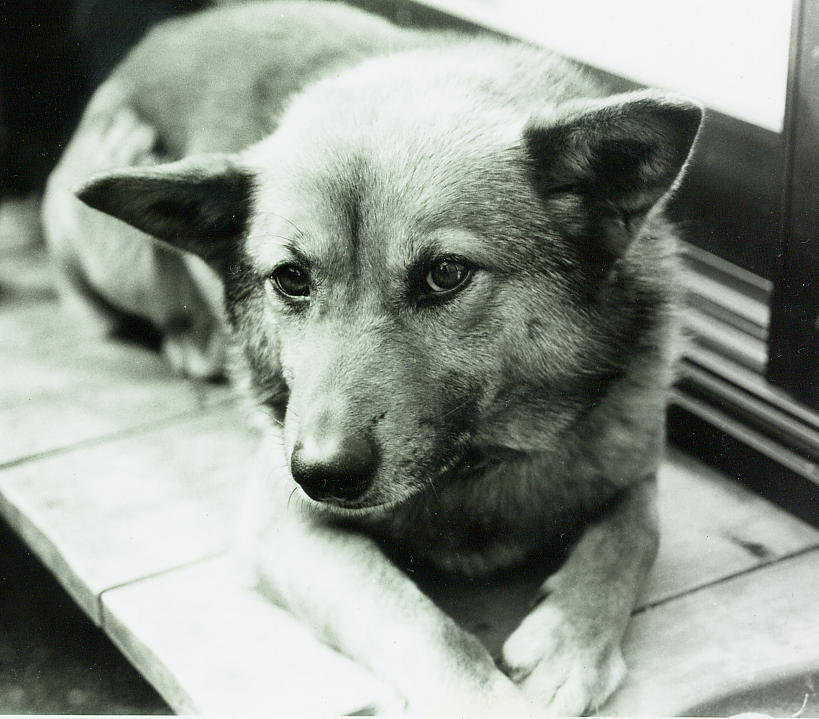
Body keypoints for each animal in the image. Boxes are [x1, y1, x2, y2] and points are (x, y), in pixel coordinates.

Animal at [42, 1, 702, 714]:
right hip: (123, 248)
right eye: (291, 279)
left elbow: (631, 537)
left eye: (445, 274)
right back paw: (193, 339)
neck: (478, 463)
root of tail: (163, 34)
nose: (321, 474)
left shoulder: (635, 470)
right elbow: (428, 632)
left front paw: (572, 638)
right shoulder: (285, 522)